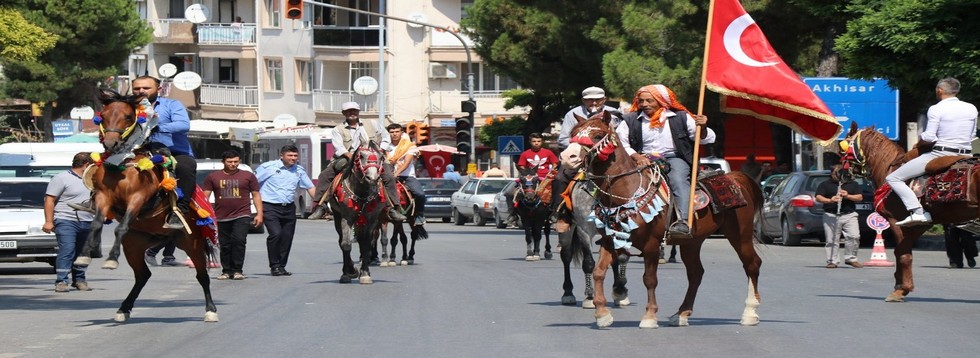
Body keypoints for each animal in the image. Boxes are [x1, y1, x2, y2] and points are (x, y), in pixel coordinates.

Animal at [72, 89, 218, 322]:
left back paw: (211, 310)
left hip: (192, 243)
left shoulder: (138, 198)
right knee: (143, 275)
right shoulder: (104, 197)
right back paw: (123, 309)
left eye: (128, 116)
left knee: (202, 275)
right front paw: (84, 256)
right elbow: (95, 224)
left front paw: (111, 259)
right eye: (103, 116)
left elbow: (121, 227)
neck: (124, 164)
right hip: (135, 244)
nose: (111, 143)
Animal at [332, 145, 388, 282]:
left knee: (363, 241)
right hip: (337, 216)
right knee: (342, 240)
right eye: (361, 156)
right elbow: (346, 244)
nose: (372, 178)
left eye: (381, 157)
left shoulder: (372, 218)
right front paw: (349, 273)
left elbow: (367, 244)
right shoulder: (346, 217)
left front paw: (365, 274)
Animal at [564, 110, 760, 328]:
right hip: (692, 242)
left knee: (752, 264)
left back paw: (750, 313)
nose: (567, 156)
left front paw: (649, 316)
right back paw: (681, 314)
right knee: (696, 273)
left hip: (740, 234)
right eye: (574, 133)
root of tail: (737, 179)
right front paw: (602, 313)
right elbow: (598, 271)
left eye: (598, 135)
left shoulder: (651, 244)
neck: (626, 190)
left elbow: (649, 279)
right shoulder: (608, 240)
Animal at [840, 123, 976, 302]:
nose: (837, 172)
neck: (889, 168)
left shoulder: (896, 221)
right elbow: (902, 251)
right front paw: (900, 286)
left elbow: (903, 254)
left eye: (843, 148)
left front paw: (901, 289)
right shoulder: (919, 225)